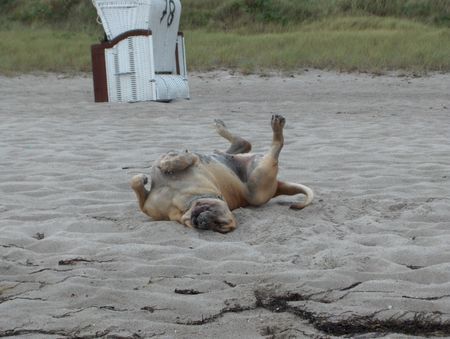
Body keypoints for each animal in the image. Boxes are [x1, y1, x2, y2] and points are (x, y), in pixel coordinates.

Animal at [130, 115, 312, 232]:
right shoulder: (191, 160)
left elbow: (137, 183)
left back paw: (276, 129)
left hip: (260, 180)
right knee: (244, 144)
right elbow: (179, 159)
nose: (204, 222)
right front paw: (164, 164)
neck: (182, 207)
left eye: (219, 225)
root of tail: (278, 187)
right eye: (217, 214)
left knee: (274, 146)